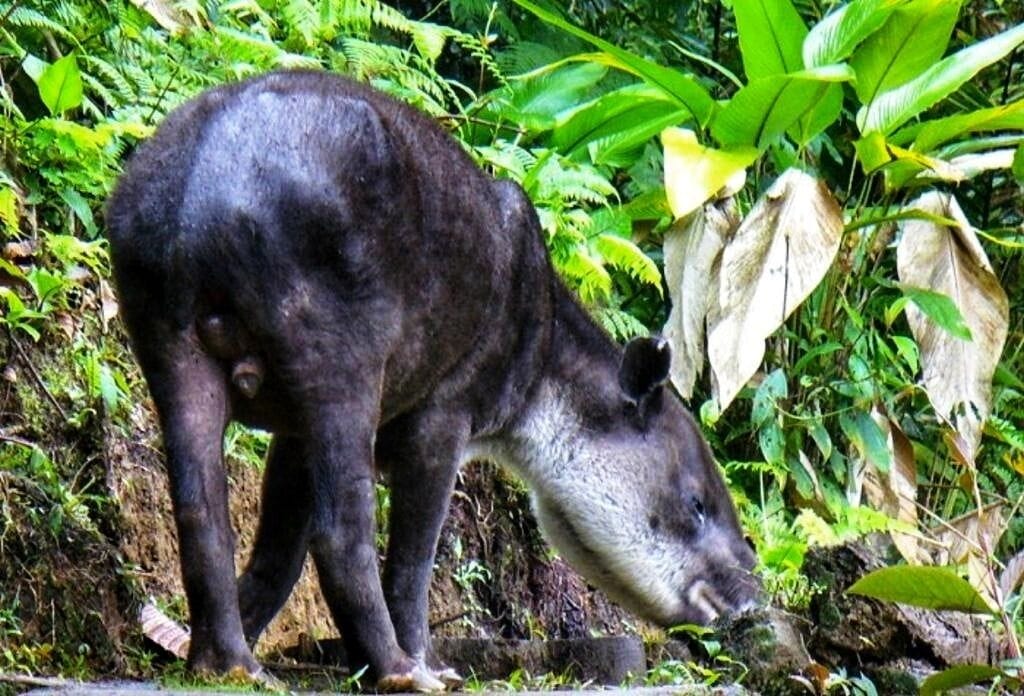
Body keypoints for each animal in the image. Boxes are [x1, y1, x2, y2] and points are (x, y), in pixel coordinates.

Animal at [105, 70, 759, 691]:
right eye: (697, 505)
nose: (752, 592)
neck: (542, 362)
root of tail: (205, 179)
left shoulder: (290, 427)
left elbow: (279, 545)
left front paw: (197, 640)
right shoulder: (447, 408)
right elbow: (412, 557)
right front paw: (431, 665)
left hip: (161, 317)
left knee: (200, 505)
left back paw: (229, 664)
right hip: (333, 336)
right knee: (342, 528)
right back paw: (398, 670)